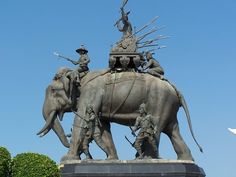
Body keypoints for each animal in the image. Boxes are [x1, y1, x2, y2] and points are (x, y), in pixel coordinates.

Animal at [37, 69, 202, 160]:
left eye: (53, 91)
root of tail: (175, 88)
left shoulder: (90, 93)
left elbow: (81, 120)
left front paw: (67, 159)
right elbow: (103, 127)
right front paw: (111, 159)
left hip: (159, 102)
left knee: (157, 130)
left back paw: (145, 158)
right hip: (169, 108)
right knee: (173, 131)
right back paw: (185, 159)